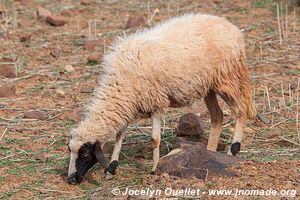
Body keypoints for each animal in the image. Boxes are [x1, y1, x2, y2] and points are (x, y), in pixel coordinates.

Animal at [67, 12, 256, 184]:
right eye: (70, 150)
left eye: (85, 154)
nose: (70, 179)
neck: (119, 84)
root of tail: (232, 28)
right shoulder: (128, 104)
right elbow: (119, 136)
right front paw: (111, 169)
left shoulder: (156, 103)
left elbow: (154, 140)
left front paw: (154, 169)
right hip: (208, 86)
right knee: (218, 116)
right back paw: (210, 152)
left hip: (226, 78)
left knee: (241, 111)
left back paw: (233, 150)